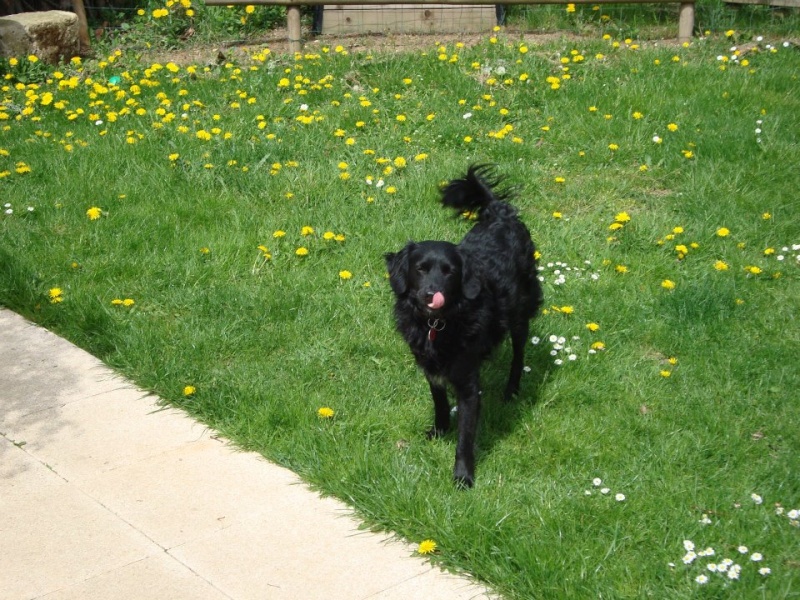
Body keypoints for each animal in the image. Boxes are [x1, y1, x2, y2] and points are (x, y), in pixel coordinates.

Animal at [382, 164, 544, 488]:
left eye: (450, 272)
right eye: (420, 269)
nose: (430, 294)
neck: (439, 323)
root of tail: (500, 214)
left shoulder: (469, 385)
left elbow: (465, 437)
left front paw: (463, 476)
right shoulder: (431, 370)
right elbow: (440, 403)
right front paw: (439, 431)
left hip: (521, 314)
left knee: (519, 353)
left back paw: (512, 390)